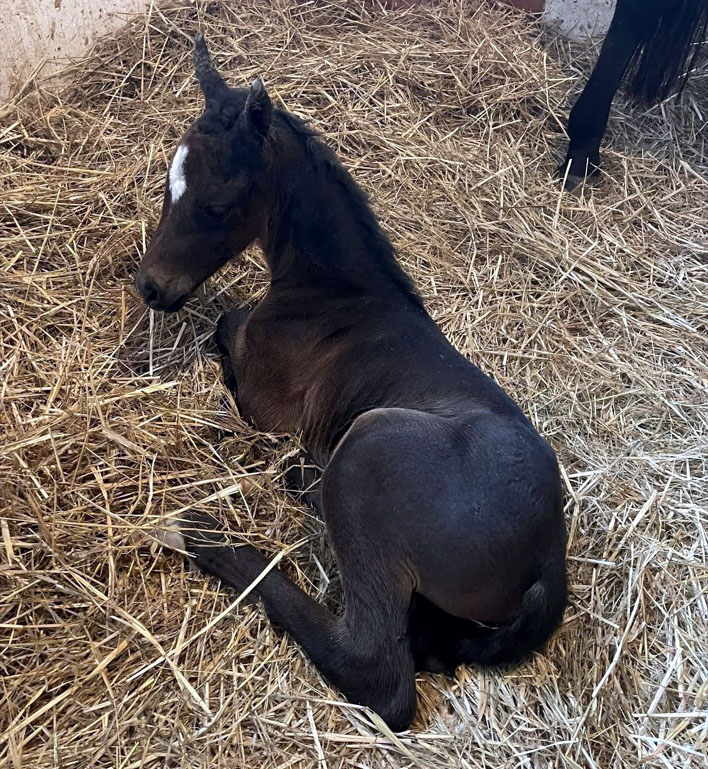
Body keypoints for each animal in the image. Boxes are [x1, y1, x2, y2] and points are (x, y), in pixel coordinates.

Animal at [135, 36, 567, 731]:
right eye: (167, 186)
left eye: (216, 206)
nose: (151, 288)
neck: (334, 295)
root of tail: (548, 560)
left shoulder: (265, 398)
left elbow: (226, 329)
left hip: (367, 451)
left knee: (379, 676)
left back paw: (209, 536)